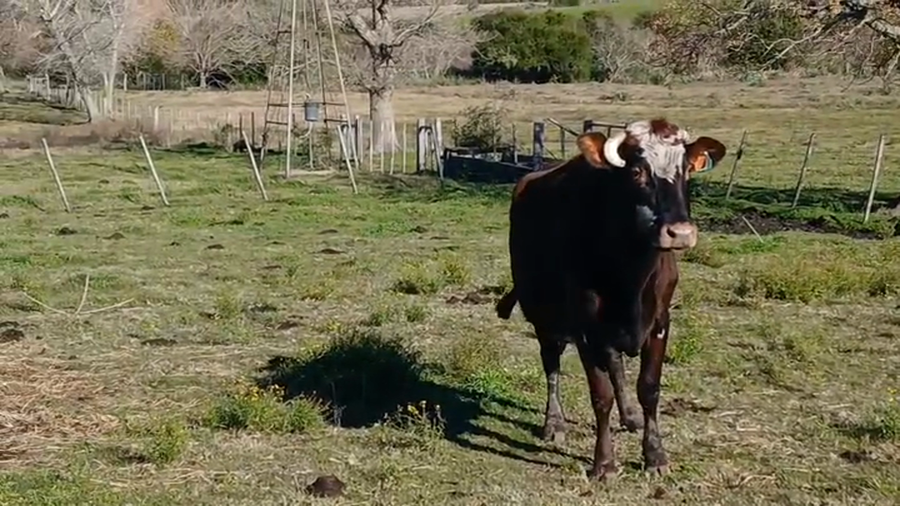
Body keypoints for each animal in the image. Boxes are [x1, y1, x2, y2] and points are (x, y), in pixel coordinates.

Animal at [494, 118, 725, 481]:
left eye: (687, 169)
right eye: (637, 172)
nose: (681, 233)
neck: (631, 274)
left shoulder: (660, 321)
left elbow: (649, 388)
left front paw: (655, 455)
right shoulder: (586, 327)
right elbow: (599, 395)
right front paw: (604, 463)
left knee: (615, 364)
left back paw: (629, 416)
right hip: (543, 316)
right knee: (552, 365)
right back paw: (554, 423)